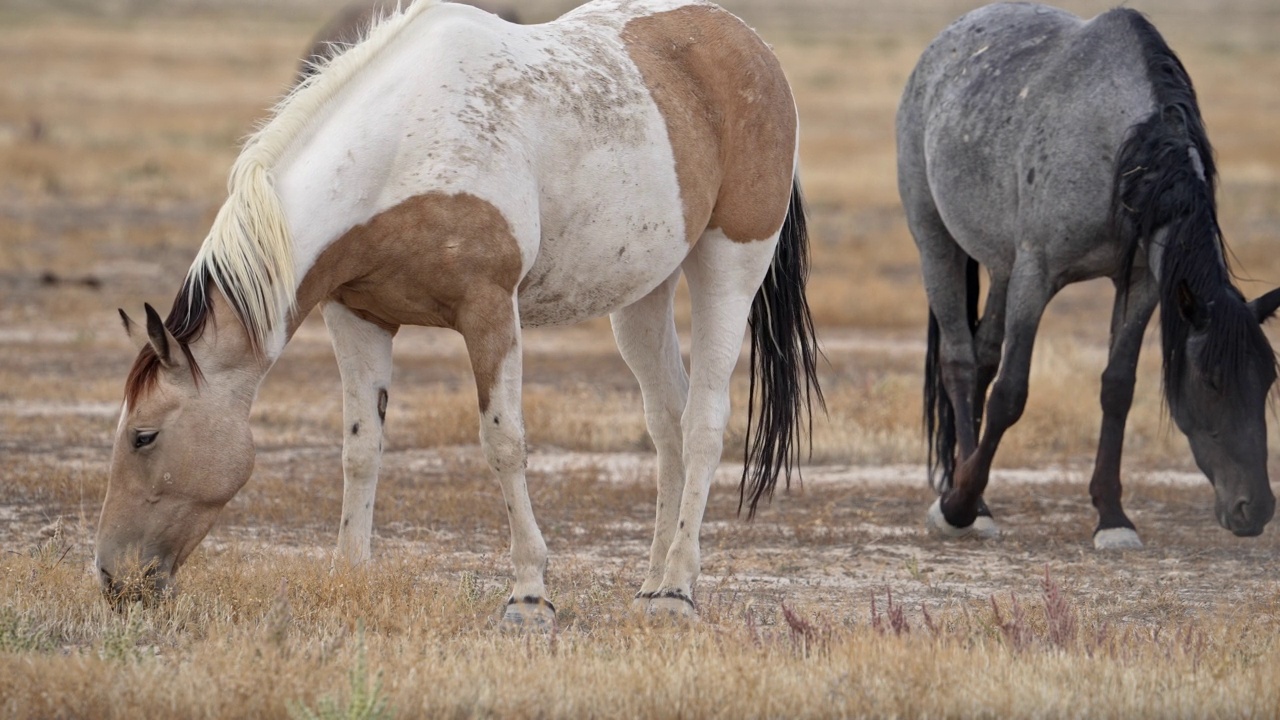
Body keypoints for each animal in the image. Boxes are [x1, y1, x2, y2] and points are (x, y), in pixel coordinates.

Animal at [896, 2, 1280, 545]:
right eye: (1211, 382)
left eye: (1267, 379)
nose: (1256, 509)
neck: (1120, 152)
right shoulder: (1036, 274)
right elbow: (1011, 394)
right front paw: (959, 504)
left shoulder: (1141, 283)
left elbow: (1117, 388)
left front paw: (1112, 517)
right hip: (936, 240)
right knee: (960, 362)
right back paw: (972, 506)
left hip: (1000, 265)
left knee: (983, 355)